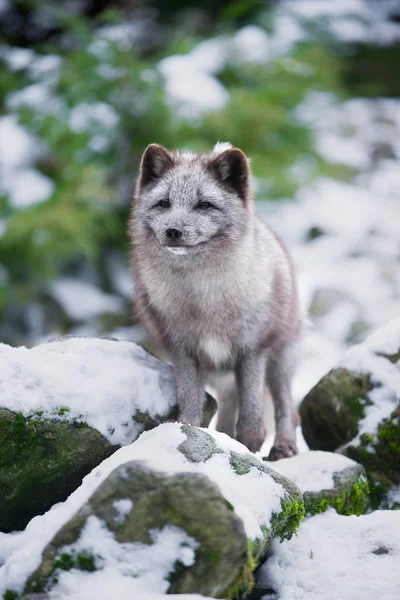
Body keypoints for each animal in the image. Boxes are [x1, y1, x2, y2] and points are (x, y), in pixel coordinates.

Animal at [130, 142, 302, 460]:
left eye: (204, 205)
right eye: (163, 203)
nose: (173, 231)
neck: (203, 298)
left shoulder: (252, 350)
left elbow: (252, 418)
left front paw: (249, 446)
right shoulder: (183, 350)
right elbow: (190, 404)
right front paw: (187, 434)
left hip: (280, 359)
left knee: (287, 407)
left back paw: (284, 447)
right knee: (228, 404)